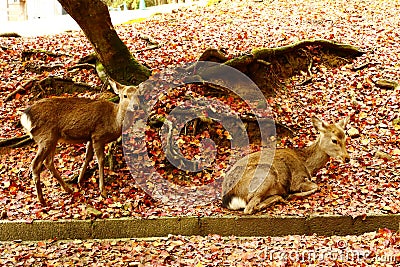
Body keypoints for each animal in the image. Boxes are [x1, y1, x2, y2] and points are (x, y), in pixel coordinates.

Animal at [222, 116, 350, 215]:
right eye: (334, 140)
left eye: (345, 137)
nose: (347, 158)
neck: (306, 164)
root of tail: (229, 198)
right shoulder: (297, 180)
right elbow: (316, 186)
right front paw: (293, 194)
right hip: (267, 175)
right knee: (249, 208)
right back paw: (282, 196)